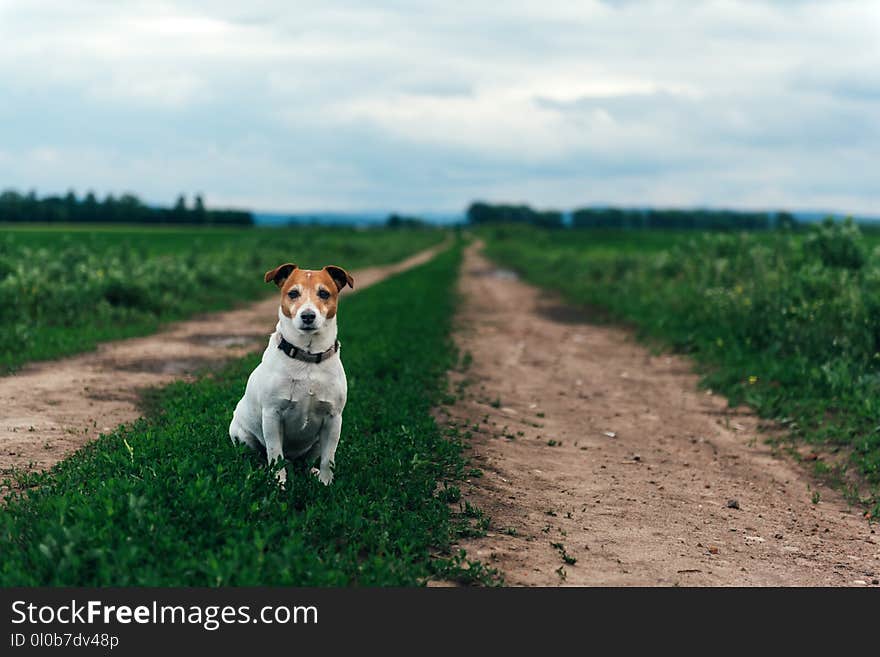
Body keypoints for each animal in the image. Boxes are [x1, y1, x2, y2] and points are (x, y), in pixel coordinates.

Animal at [229, 258, 356, 484]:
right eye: (293, 293)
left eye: (324, 293)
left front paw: (326, 483)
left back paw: (311, 472)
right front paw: (278, 483)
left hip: (316, 443)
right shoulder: (272, 415)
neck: (307, 356)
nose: (308, 316)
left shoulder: (334, 419)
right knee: (259, 455)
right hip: (242, 436)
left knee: (307, 461)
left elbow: (328, 459)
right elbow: (275, 454)